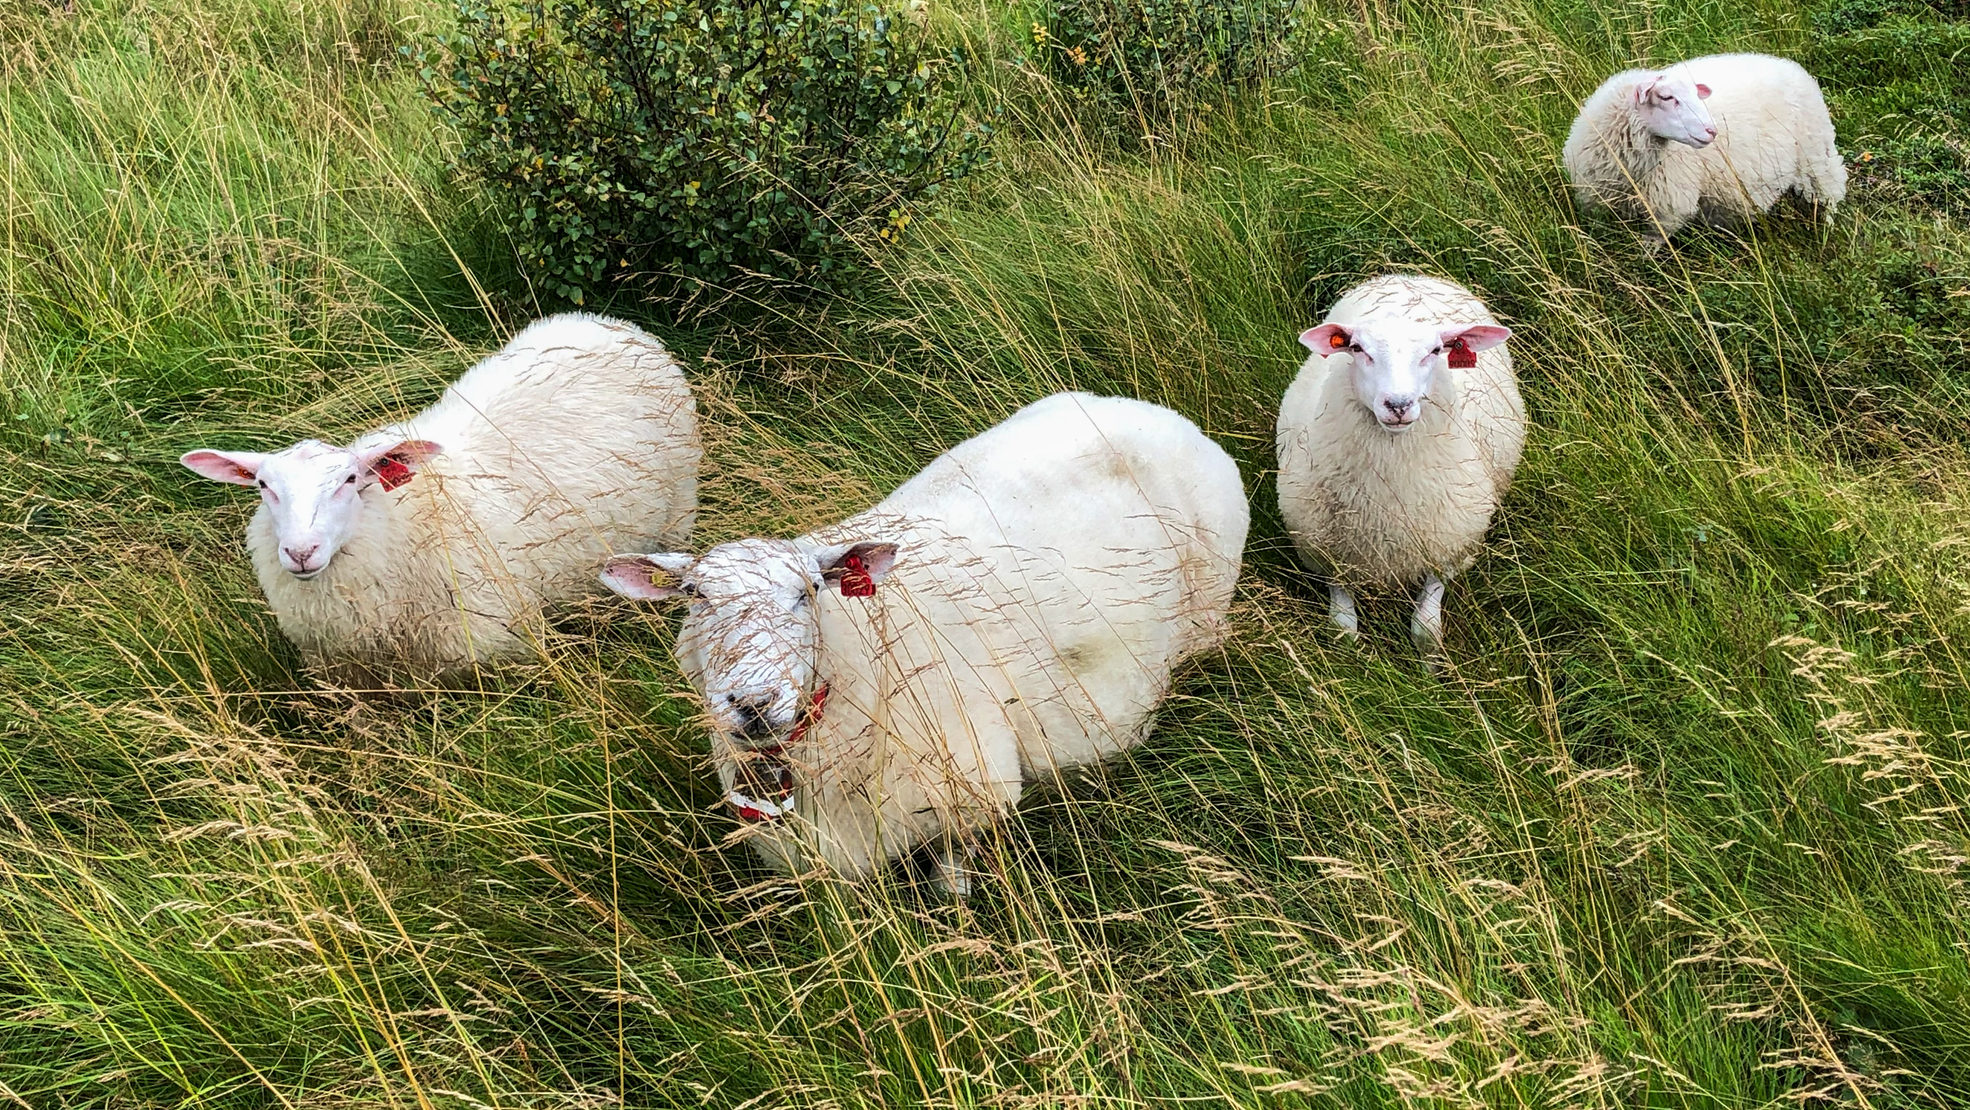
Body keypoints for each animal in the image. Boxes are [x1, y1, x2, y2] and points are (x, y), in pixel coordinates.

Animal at [594, 392, 1245, 895]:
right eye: (696, 596)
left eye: (809, 591)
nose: (753, 703)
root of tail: (1154, 411)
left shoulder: (974, 797)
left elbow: (952, 883)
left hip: (1207, 623)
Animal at [1268, 276, 1528, 650]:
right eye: (1357, 349)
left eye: (1435, 351)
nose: (1398, 404)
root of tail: (1410, 277)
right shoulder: (1329, 552)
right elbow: (1343, 630)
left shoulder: (1444, 547)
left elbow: (1425, 631)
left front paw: (1431, 664)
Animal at [1552, 53, 1843, 245]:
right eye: (1667, 97)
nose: (1712, 131)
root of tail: (1789, 65)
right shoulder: (1596, 205)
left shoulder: (1667, 209)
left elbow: (1648, 248)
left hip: (1816, 153)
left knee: (1831, 191)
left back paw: (1828, 230)